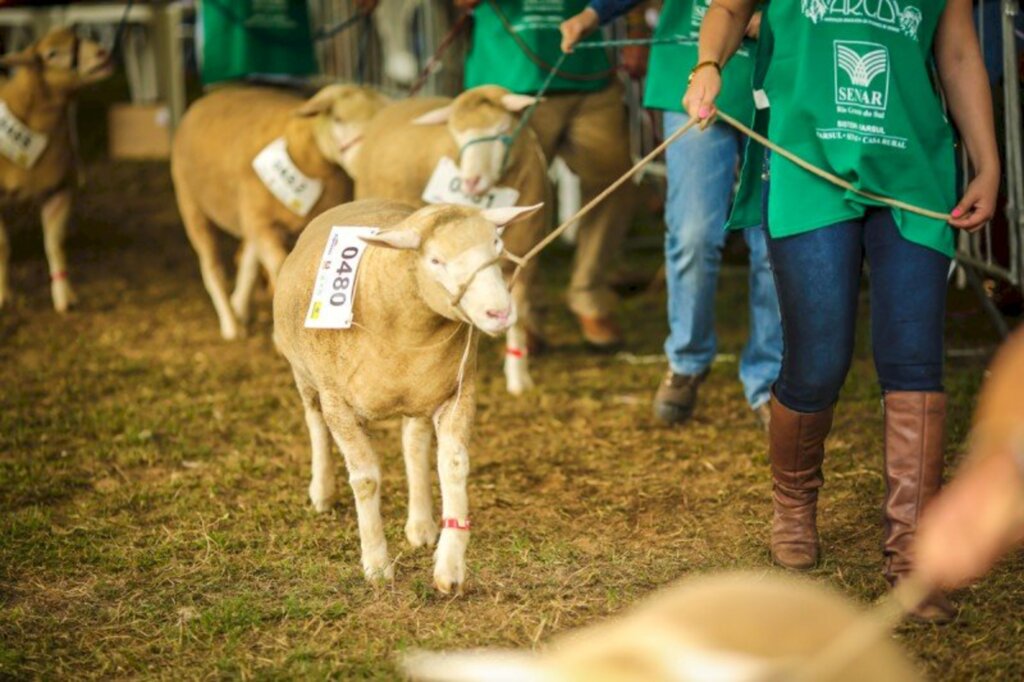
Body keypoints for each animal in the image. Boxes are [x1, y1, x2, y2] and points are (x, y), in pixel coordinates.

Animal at [0, 27, 114, 311]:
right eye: (51, 53)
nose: (102, 52)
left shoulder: (59, 190)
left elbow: (54, 244)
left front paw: (64, 296)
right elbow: (2, 246)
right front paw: (3, 296)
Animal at [172, 84, 387, 339]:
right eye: (337, 119)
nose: (368, 160)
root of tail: (203, 101)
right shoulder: (262, 222)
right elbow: (279, 268)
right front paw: (279, 333)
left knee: (247, 262)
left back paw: (239, 307)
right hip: (192, 204)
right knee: (212, 269)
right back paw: (230, 324)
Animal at [272, 196, 544, 589]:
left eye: (497, 245)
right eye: (435, 260)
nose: (500, 312)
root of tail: (361, 200)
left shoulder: (457, 392)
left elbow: (453, 466)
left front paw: (449, 566)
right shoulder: (338, 402)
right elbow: (366, 479)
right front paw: (376, 566)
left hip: (419, 393)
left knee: (414, 445)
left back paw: (420, 524)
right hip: (305, 376)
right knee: (315, 423)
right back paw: (322, 492)